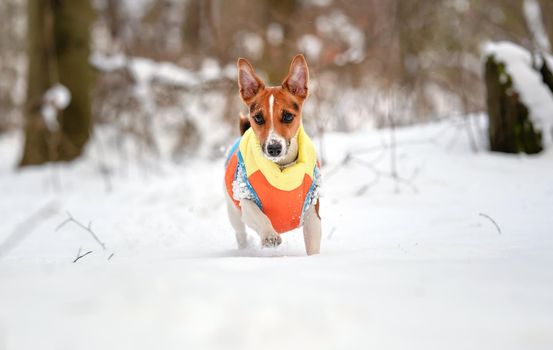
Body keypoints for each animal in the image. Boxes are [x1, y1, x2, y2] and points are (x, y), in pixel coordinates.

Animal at [222, 55, 322, 258]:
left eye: (288, 116)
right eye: (258, 118)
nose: (274, 148)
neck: (282, 169)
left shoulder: (312, 208)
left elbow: (313, 237)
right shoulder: (246, 199)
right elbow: (257, 214)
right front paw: (270, 235)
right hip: (233, 210)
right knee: (240, 232)